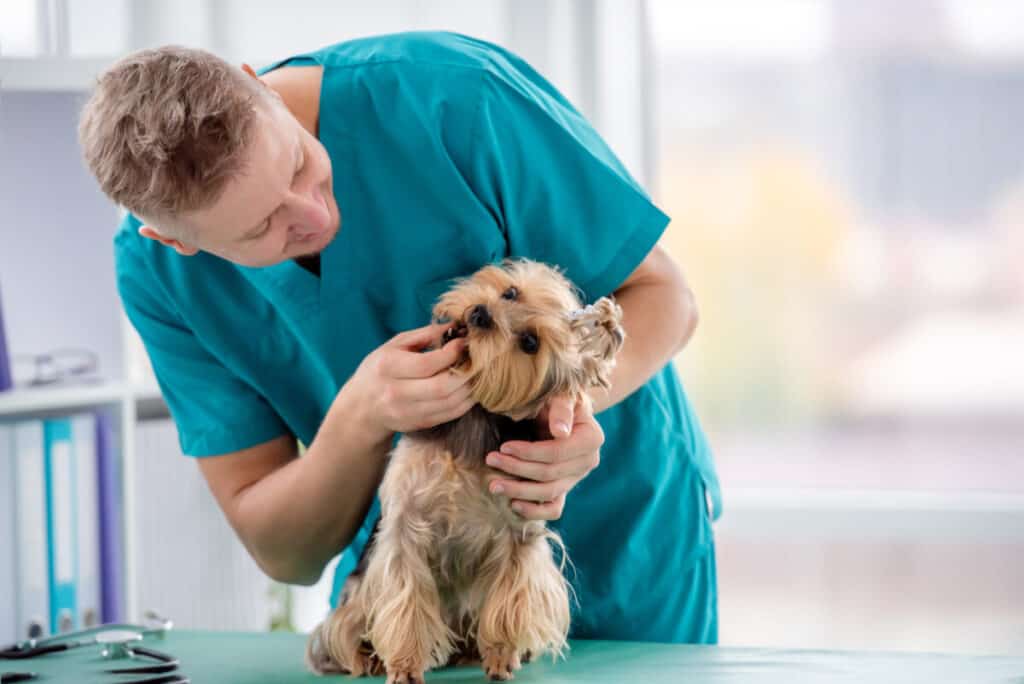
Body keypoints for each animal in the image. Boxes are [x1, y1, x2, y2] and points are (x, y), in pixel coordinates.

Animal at [303, 259, 622, 679]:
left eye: (530, 343)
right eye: (510, 293)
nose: (480, 314)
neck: (471, 418)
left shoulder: (519, 534)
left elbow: (507, 600)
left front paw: (501, 654)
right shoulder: (404, 524)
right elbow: (405, 597)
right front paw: (404, 665)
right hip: (356, 595)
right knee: (347, 625)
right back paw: (365, 657)